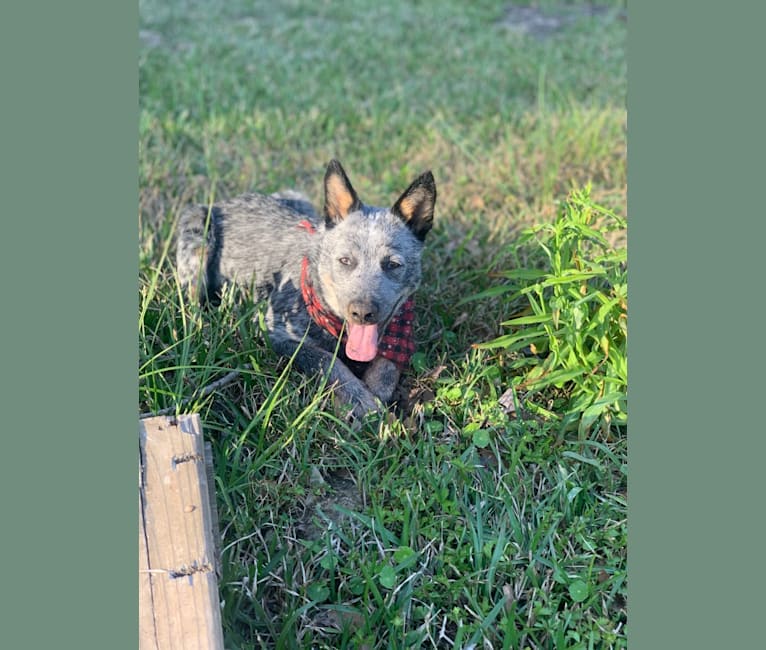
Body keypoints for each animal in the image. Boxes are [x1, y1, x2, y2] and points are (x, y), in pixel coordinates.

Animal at [176, 159, 436, 418]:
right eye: (345, 260)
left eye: (393, 264)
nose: (362, 312)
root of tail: (228, 201)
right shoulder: (276, 332)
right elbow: (324, 360)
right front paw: (359, 399)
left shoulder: (400, 335)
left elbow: (387, 367)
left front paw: (377, 396)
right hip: (196, 233)